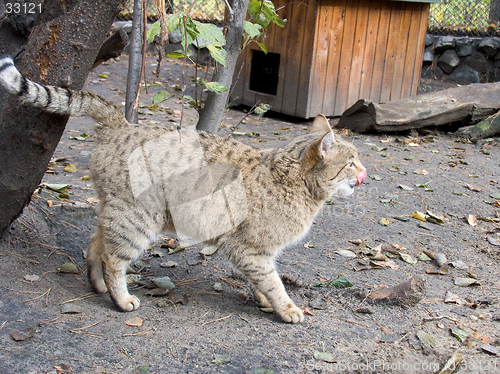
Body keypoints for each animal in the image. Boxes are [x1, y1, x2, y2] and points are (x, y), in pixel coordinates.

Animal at [0, 55, 368, 322]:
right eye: (351, 162)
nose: (366, 172)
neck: (294, 182)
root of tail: (121, 124)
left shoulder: (258, 251)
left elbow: (261, 282)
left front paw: (265, 301)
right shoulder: (250, 249)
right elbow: (272, 282)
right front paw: (287, 308)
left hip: (116, 212)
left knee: (95, 245)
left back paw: (98, 286)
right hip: (137, 219)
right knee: (112, 258)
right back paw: (121, 299)